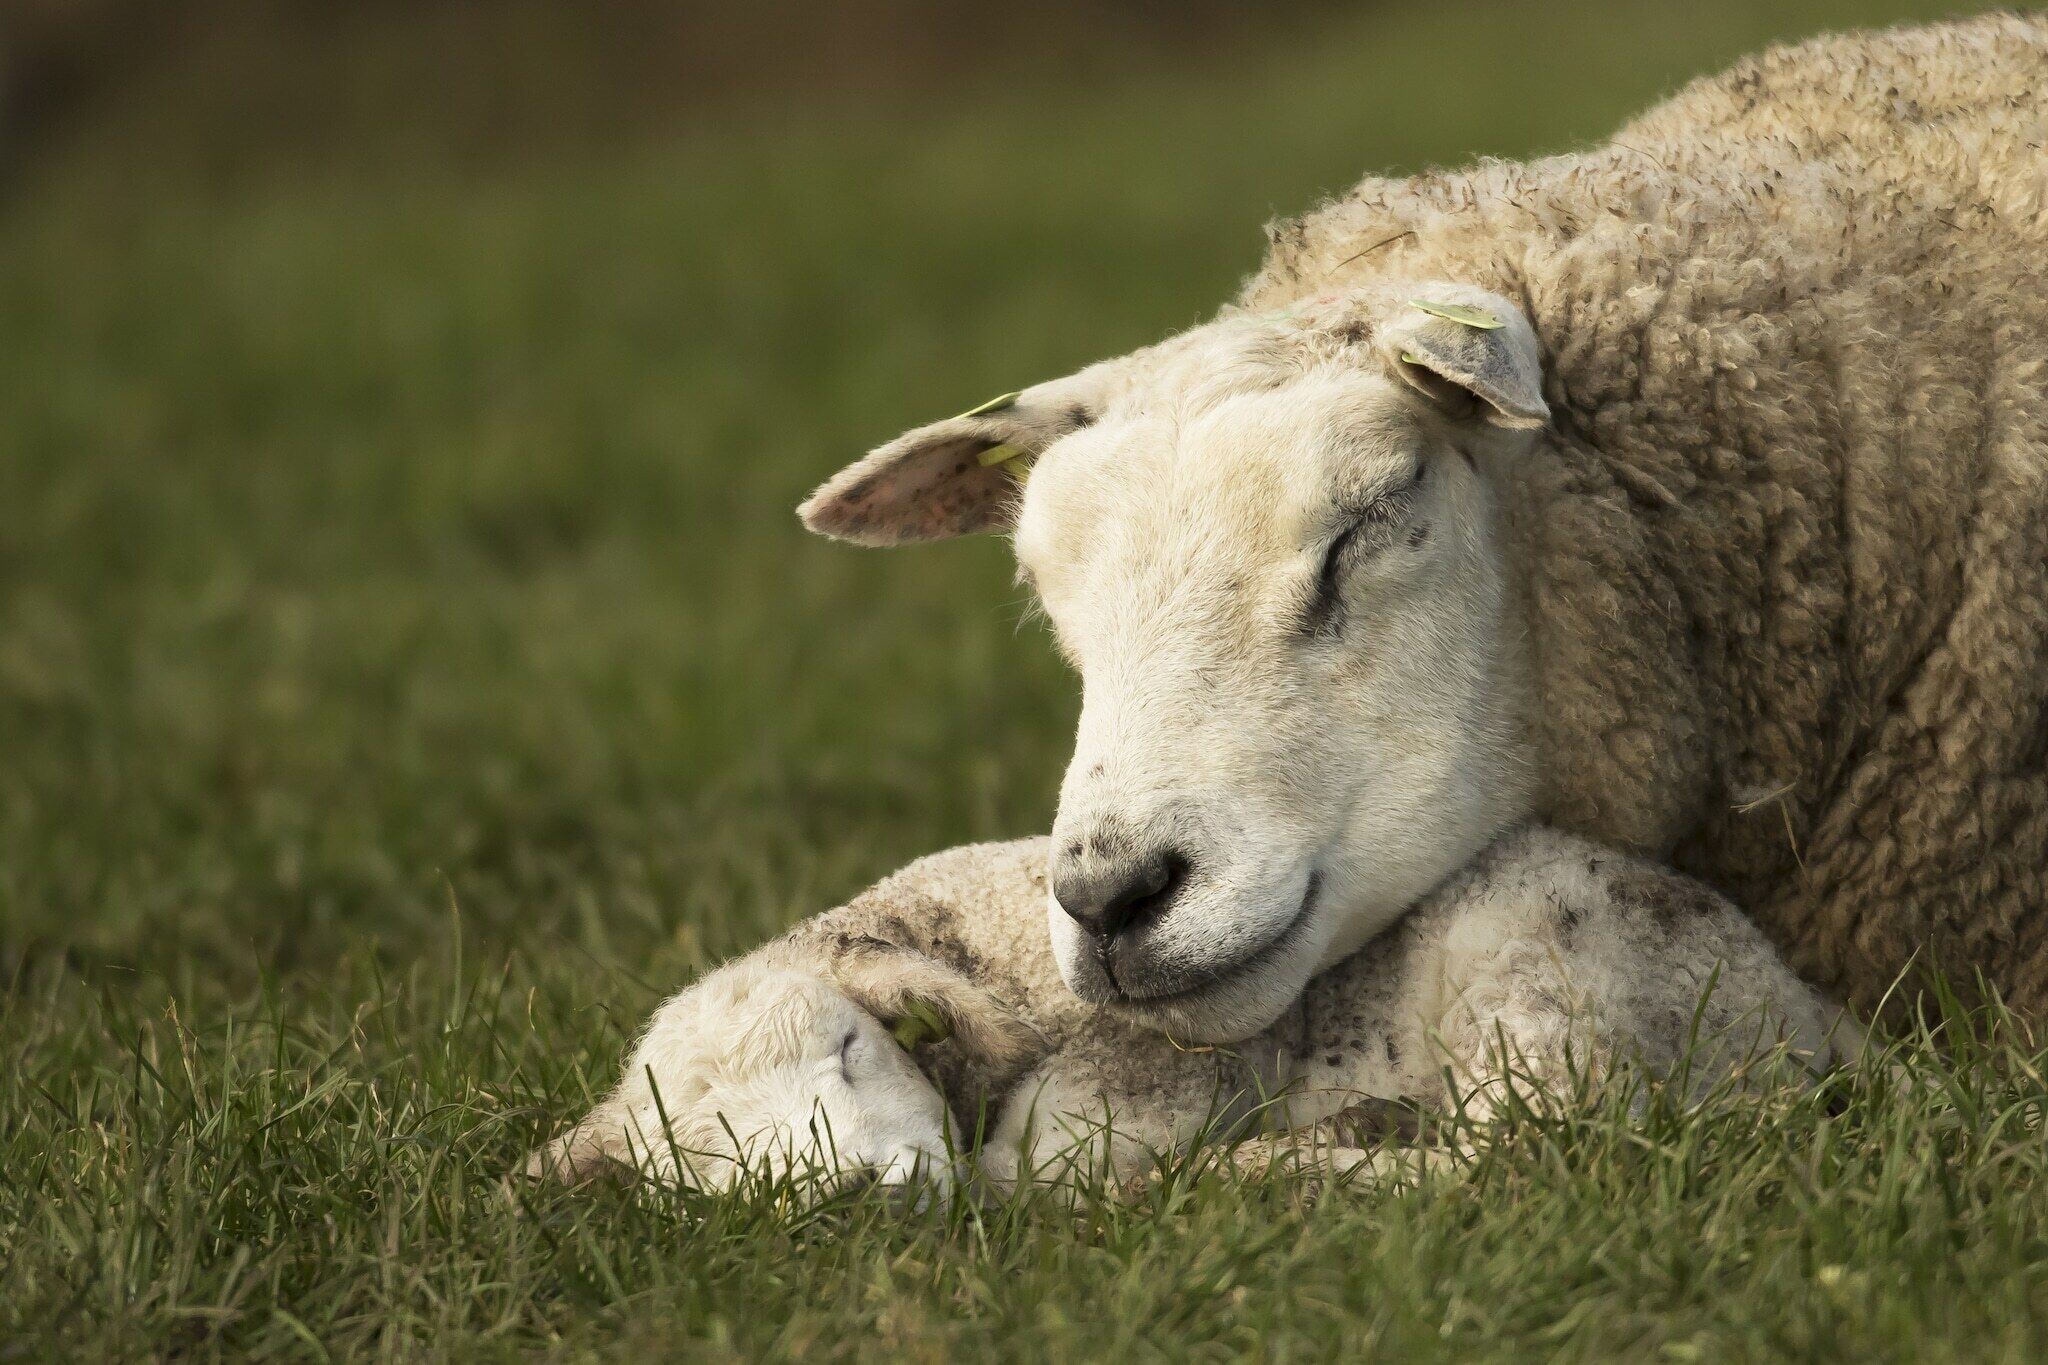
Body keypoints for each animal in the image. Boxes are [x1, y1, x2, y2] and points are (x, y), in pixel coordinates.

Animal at [525, 828, 1858, 1194]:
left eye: (853, 1050)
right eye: (704, 1161)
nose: (860, 1193)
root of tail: (1798, 1016)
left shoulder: (1167, 1048)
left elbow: (1043, 1160)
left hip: (1544, 965)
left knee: (1534, 1158)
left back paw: (1275, 1168)